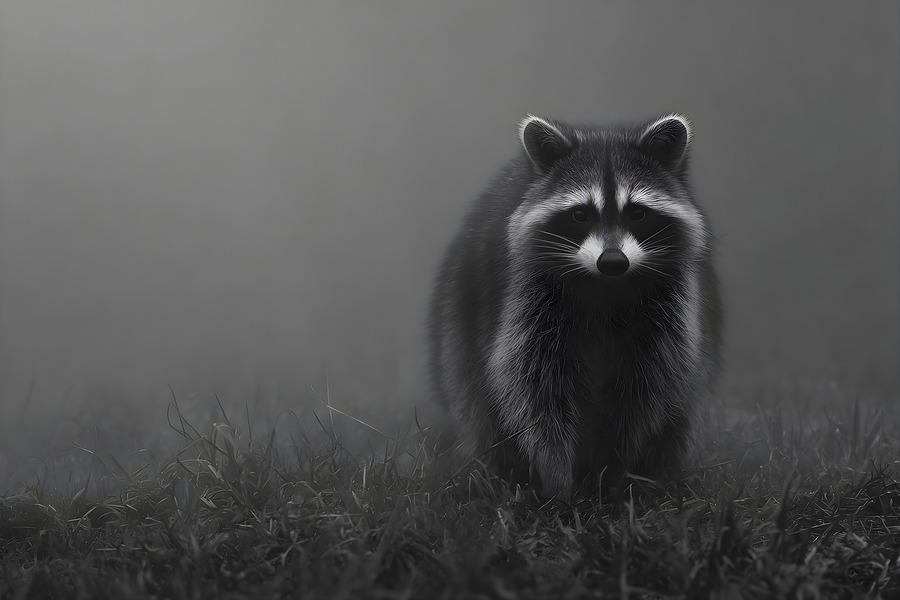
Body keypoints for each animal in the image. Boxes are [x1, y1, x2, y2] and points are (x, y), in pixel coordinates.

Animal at [427, 114, 722, 498]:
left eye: (637, 213)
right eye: (581, 214)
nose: (613, 261)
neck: (605, 285)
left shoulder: (668, 309)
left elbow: (642, 390)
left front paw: (612, 469)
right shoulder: (529, 301)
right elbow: (533, 387)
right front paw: (556, 476)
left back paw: (656, 475)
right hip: (460, 319)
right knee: (476, 399)